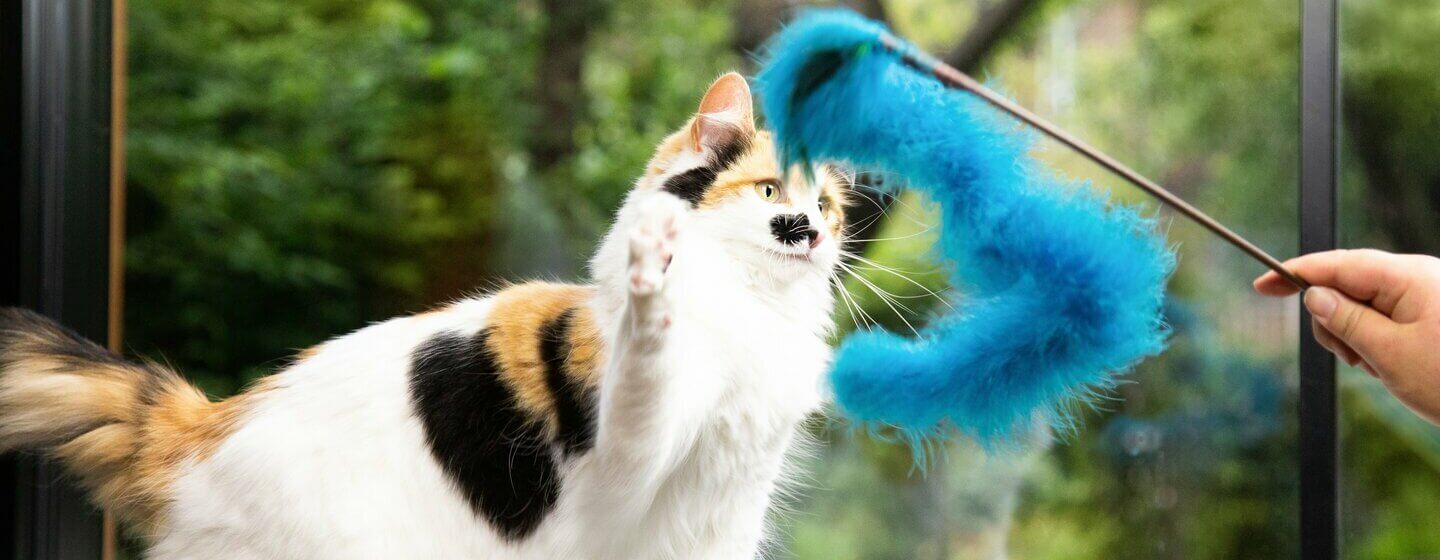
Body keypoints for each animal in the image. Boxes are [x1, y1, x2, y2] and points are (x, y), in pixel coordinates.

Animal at [0, 74, 846, 558]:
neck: (752, 315)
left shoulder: (725, 517)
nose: (808, 231)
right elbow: (647, 366)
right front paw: (652, 289)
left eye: (829, 208)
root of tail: (198, 430)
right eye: (770, 192)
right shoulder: (625, 458)